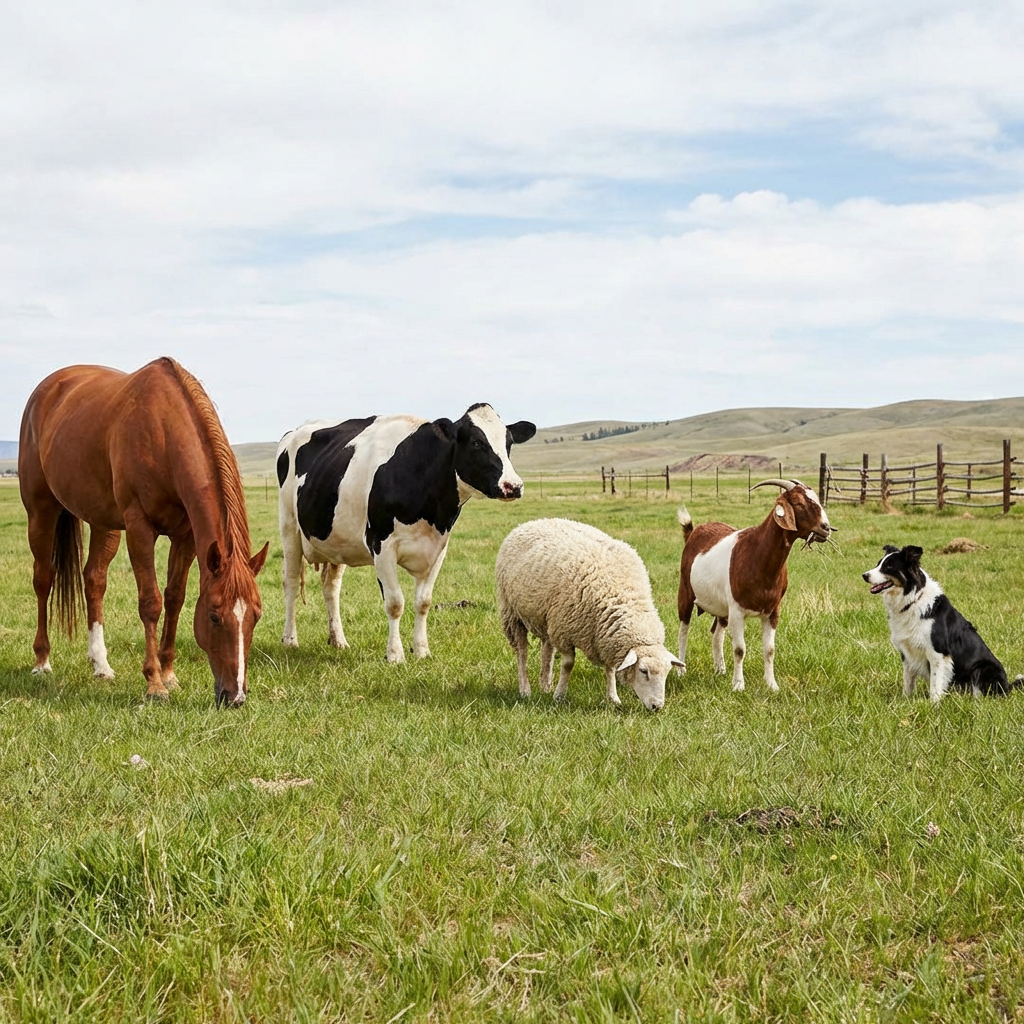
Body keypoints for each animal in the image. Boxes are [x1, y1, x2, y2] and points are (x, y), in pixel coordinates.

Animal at [18, 357, 269, 705]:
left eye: (256, 615)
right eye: (214, 616)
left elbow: (175, 598)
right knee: (43, 579)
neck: (163, 431)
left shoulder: (186, 536)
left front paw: (169, 673)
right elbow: (151, 602)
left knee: (94, 580)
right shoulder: (139, 528)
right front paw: (154, 684)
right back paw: (42, 661)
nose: (236, 697)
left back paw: (101, 665)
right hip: (41, 512)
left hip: (104, 523)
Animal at [276, 403, 536, 662]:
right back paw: (290, 640)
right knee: (290, 582)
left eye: (509, 443)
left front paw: (421, 651)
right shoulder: (381, 545)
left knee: (331, 587)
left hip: (336, 541)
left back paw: (339, 641)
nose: (513, 486)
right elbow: (394, 603)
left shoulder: (438, 548)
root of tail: (296, 430)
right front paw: (395, 655)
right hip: (289, 528)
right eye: (476, 442)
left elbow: (423, 602)